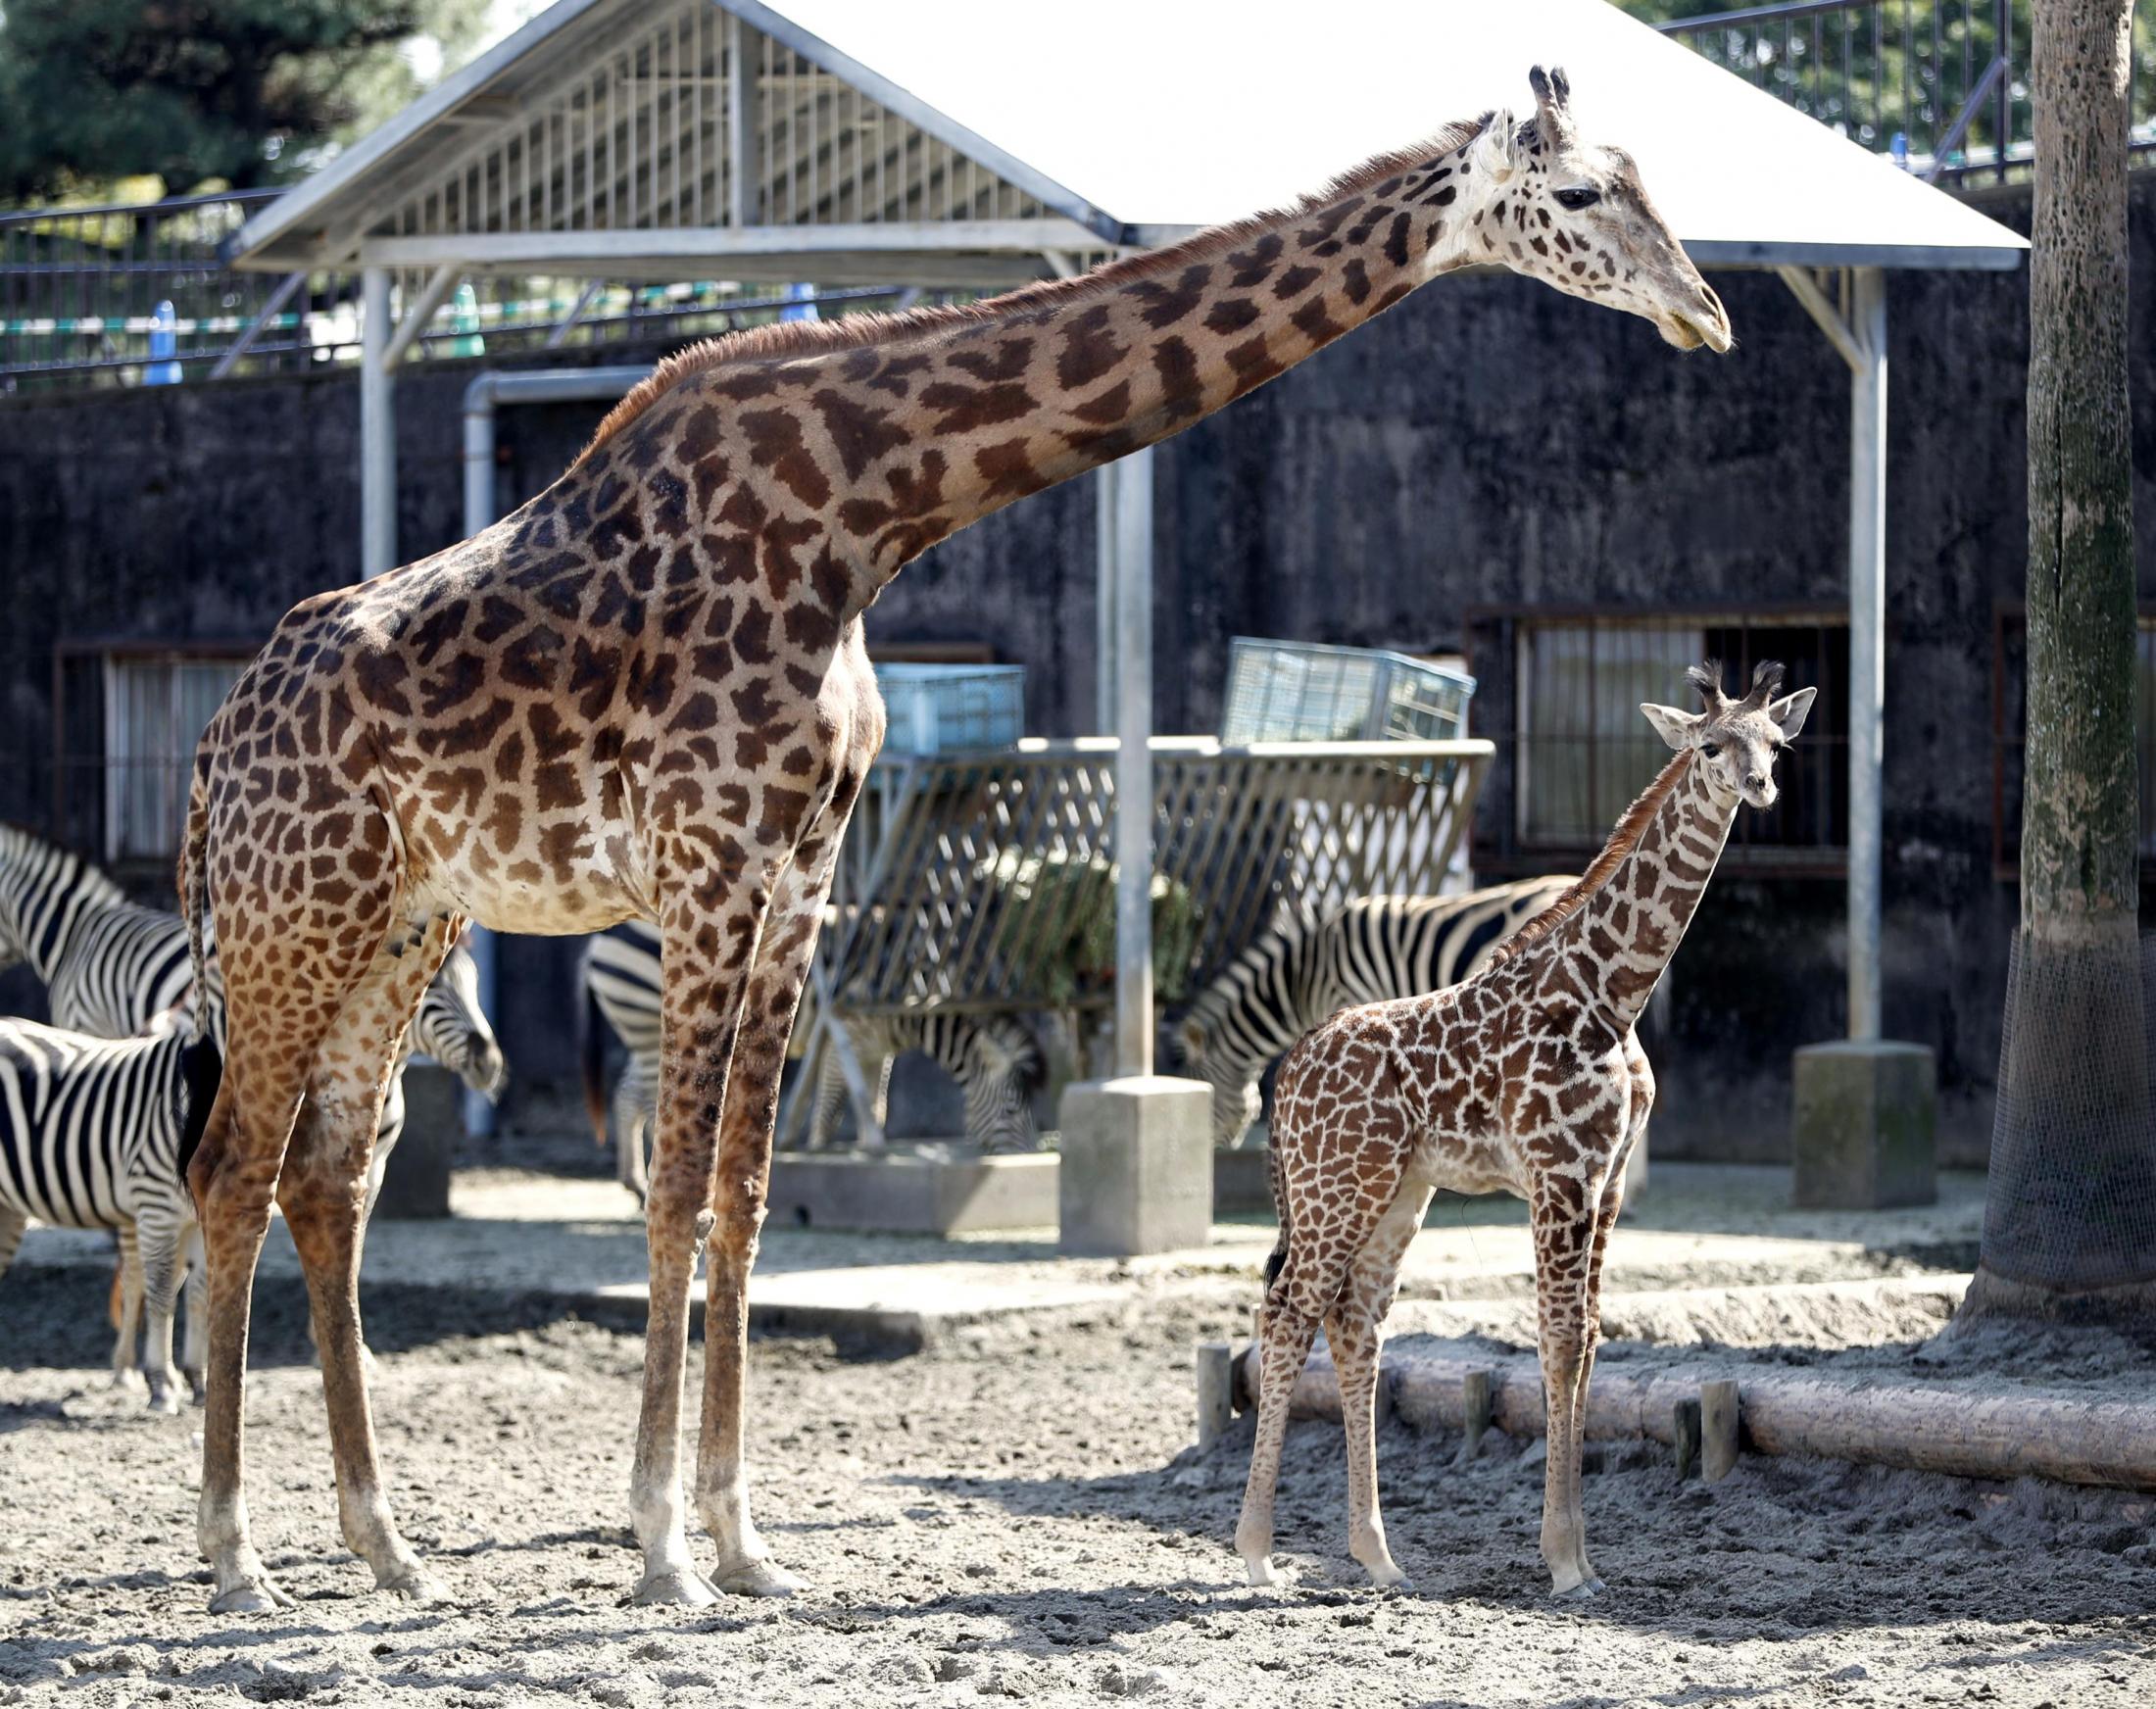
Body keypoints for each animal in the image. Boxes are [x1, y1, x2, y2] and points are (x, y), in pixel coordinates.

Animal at [573, 917, 1043, 1197]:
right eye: (1011, 1108)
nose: (1026, 1160)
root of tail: (601, 939)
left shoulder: (875, 1049)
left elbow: (874, 1103)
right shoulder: (842, 1037)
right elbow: (831, 1106)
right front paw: (823, 1153)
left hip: (648, 1030)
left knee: (627, 1096)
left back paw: (640, 1183)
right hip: (656, 1023)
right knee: (648, 1104)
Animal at [1242, 659, 1811, 1594]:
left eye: (1775, 742)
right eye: (1710, 745)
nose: (1759, 786)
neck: (1614, 994)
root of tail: (1286, 1073)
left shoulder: (1605, 1182)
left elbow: (1588, 1344)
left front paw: (1582, 1557)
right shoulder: (1558, 1172)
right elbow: (1557, 1340)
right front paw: (1565, 1563)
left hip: (1400, 1191)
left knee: (1357, 1322)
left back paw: (1380, 1557)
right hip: (1338, 1183)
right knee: (1289, 1308)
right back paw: (1257, 1553)